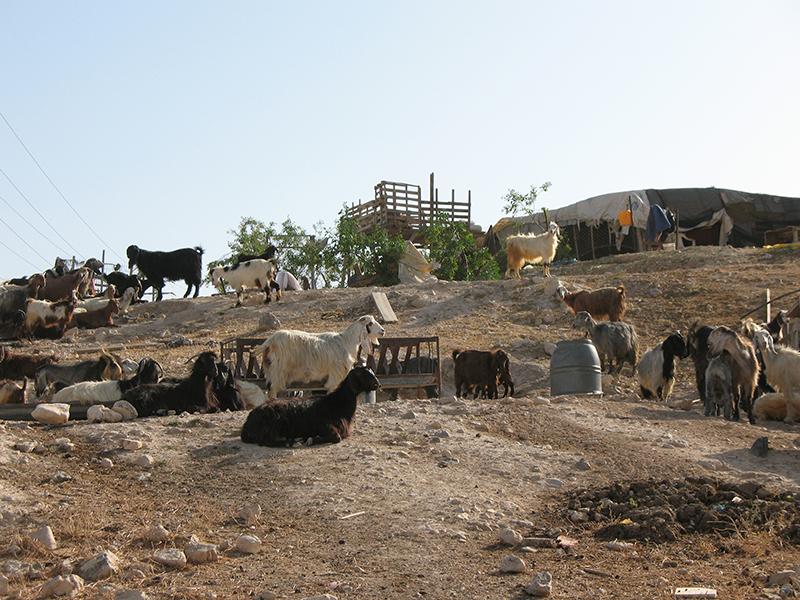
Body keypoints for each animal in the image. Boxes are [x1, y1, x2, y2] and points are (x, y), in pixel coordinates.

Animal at [238, 366, 382, 446]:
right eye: (362, 375)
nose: (378, 384)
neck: (337, 402)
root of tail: (247, 424)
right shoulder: (323, 425)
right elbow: (336, 437)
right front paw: (312, 439)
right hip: (273, 425)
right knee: (265, 441)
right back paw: (291, 442)